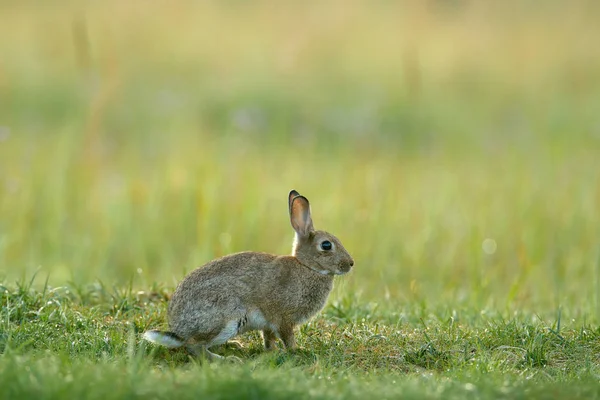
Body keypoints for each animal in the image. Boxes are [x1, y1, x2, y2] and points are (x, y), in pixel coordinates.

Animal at [143, 189, 354, 360]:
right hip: (226, 317)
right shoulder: (283, 317)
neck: (307, 267)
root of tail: (177, 332)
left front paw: (272, 351)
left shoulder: (268, 323)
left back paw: (233, 346)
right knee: (195, 346)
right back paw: (226, 359)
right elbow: (287, 336)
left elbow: (268, 337)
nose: (350, 264)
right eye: (326, 245)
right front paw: (297, 350)